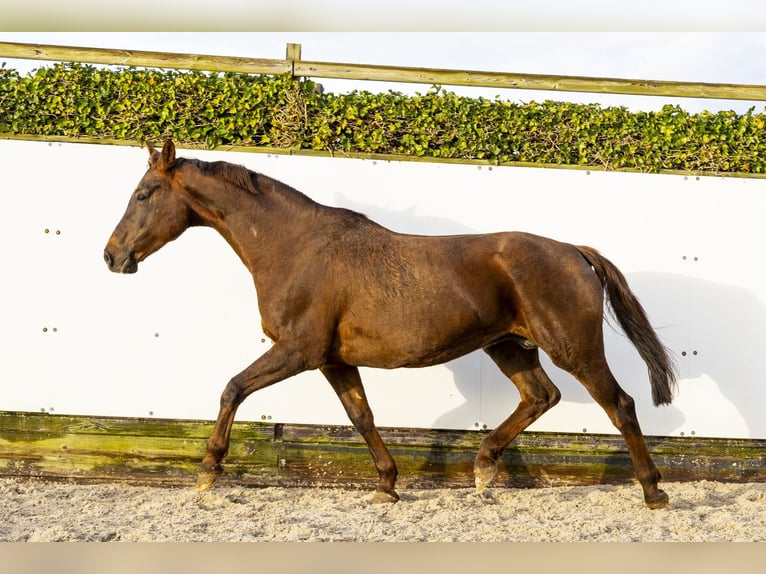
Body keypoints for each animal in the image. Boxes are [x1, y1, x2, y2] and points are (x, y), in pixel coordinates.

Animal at [103, 142, 680, 510]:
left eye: (144, 193)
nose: (112, 256)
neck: (295, 246)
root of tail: (574, 252)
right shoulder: (333, 360)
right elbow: (361, 417)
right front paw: (386, 485)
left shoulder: (298, 350)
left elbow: (233, 388)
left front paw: (207, 472)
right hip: (508, 346)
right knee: (541, 396)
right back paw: (483, 468)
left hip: (573, 347)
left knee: (620, 404)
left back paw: (654, 492)